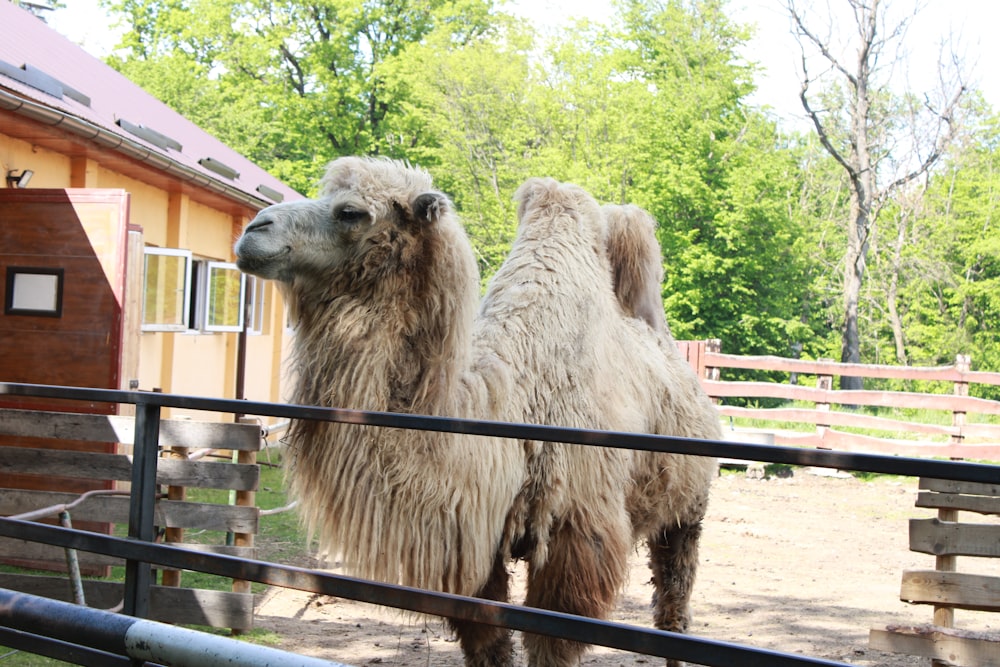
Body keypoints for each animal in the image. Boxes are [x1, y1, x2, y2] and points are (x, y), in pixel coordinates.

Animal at [232, 158, 720, 667]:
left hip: (688, 507)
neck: (508, 412)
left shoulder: (576, 537)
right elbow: (487, 641)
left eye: (351, 212)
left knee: (674, 598)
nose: (254, 229)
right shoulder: (473, 542)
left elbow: (552, 645)